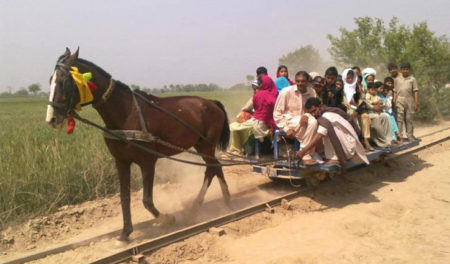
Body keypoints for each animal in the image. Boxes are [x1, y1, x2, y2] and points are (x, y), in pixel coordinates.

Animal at [46, 48, 232, 241]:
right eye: (50, 80)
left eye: (64, 82)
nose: (51, 118)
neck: (126, 113)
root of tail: (212, 103)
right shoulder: (121, 161)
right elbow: (124, 197)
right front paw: (125, 233)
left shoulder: (147, 162)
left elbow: (147, 200)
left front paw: (167, 218)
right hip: (201, 145)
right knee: (216, 167)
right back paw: (226, 200)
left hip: (206, 145)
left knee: (210, 169)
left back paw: (196, 206)